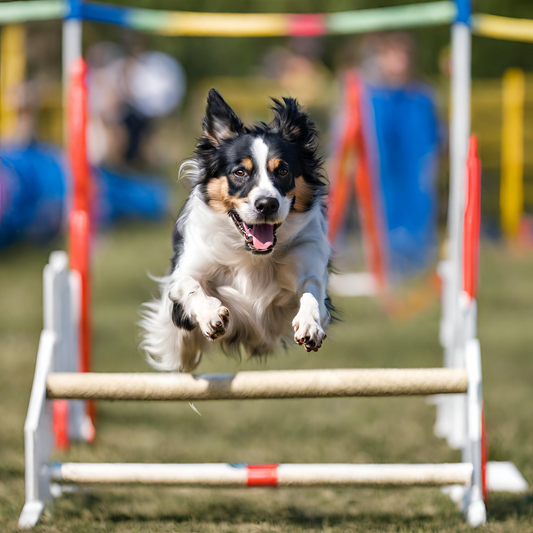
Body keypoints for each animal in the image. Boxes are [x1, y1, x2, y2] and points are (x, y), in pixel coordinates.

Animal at [141, 88, 332, 370]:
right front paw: (211, 314)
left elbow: (312, 291)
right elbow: (189, 283)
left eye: (283, 170)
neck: (252, 256)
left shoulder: (308, 260)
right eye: (240, 172)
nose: (267, 204)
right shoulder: (188, 268)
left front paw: (310, 325)